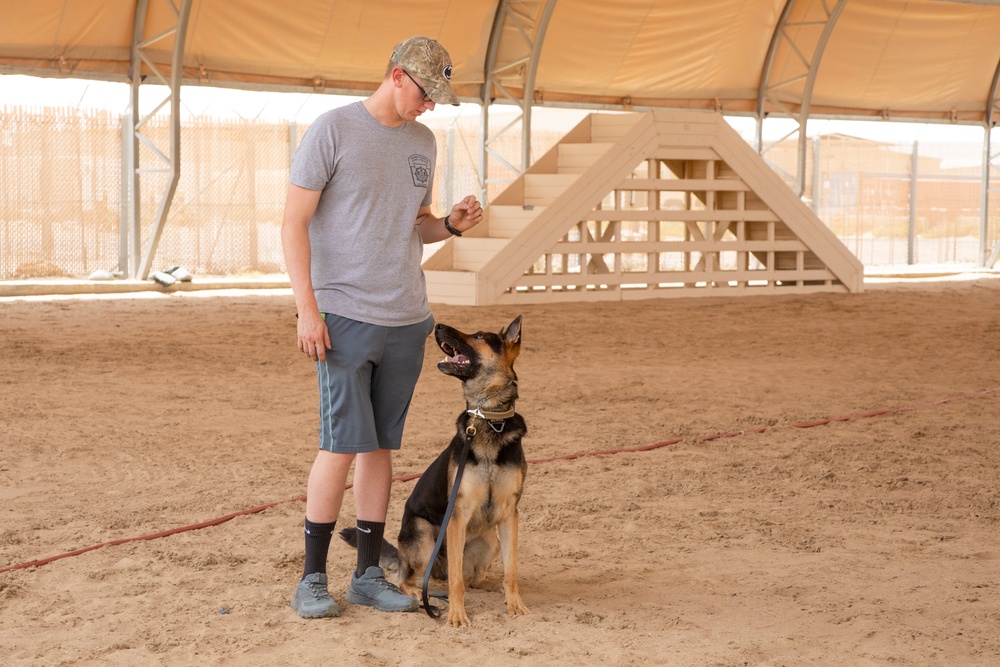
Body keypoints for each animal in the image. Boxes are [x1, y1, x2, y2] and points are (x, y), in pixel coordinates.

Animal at [342, 316, 532, 628]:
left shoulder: (509, 514)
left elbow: (511, 570)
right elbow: (456, 582)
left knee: (471, 578)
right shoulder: (457, 515)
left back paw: (489, 586)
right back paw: (418, 596)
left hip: (490, 540)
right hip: (425, 540)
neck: (489, 420)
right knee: (412, 579)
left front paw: (514, 604)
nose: (439, 325)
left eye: (480, 335)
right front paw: (456, 615)